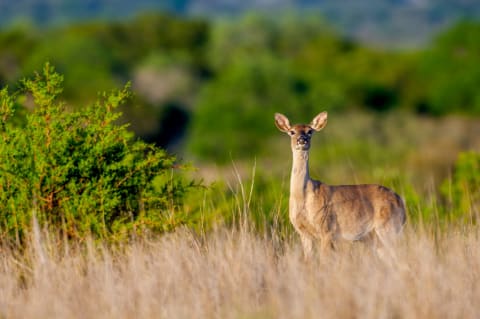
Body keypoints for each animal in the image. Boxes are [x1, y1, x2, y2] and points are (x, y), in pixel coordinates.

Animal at [276, 112, 406, 262]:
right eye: (292, 131)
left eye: (310, 131)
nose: (302, 140)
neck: (303, 197)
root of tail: (401, 203)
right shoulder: (303, 233)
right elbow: (308, 261)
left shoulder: (327, 229)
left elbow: (324, 261)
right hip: (377, 237)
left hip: (389, 227)